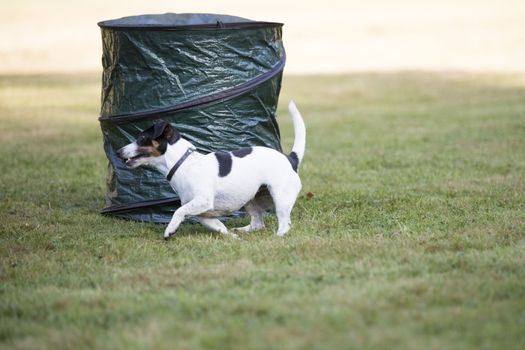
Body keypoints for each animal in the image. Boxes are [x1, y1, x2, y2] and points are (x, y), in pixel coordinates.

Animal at [116, 100, 304, 239]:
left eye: (142, 138)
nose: (118, 152)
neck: (183, 163)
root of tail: (290, 159)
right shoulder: (204, 214)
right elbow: (219, 227)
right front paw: (231, 237)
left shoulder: (203, 201)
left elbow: (178, 211)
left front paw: (170, 229)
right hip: (250, 199)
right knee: (258, 223)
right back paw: (241, 231)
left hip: (280, 197)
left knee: (285, 223)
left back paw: (278, 236)